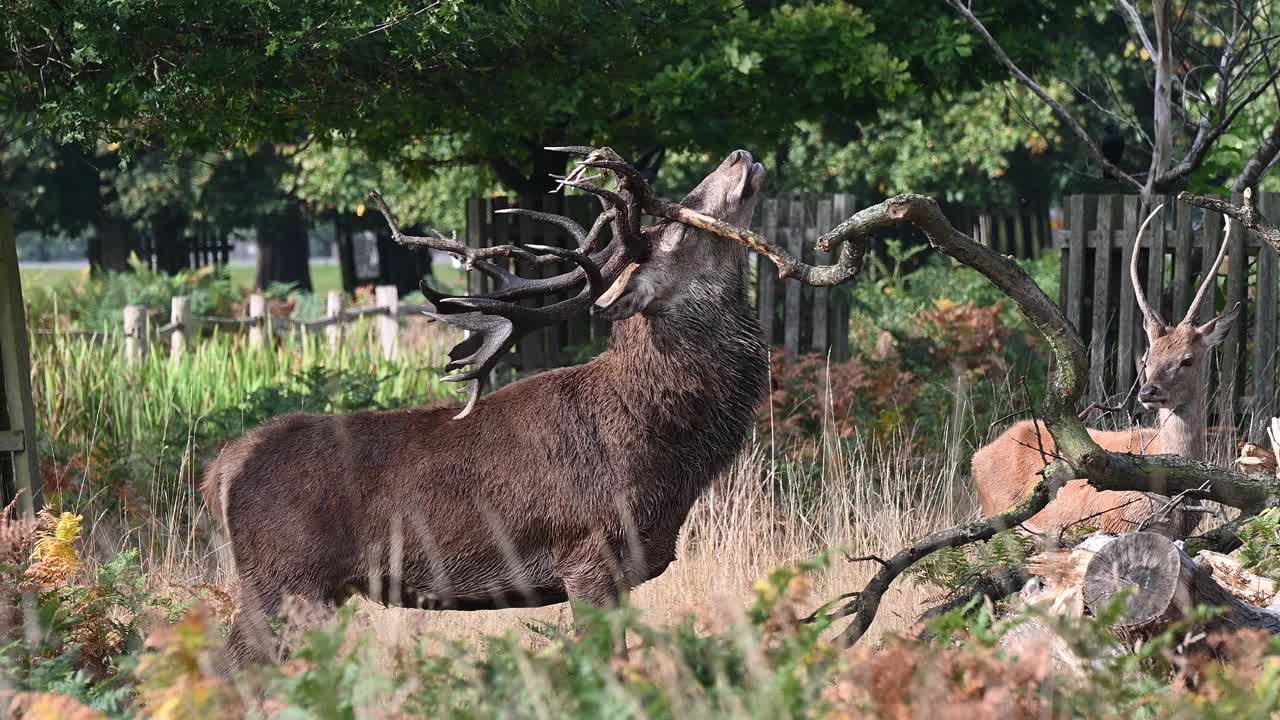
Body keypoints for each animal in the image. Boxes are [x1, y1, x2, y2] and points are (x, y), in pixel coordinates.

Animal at [202, 148, 768, 666]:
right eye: (682, 232)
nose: (739, 156)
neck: (663, 450)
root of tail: (222, 469)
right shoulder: (590, 555)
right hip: (281, 578)